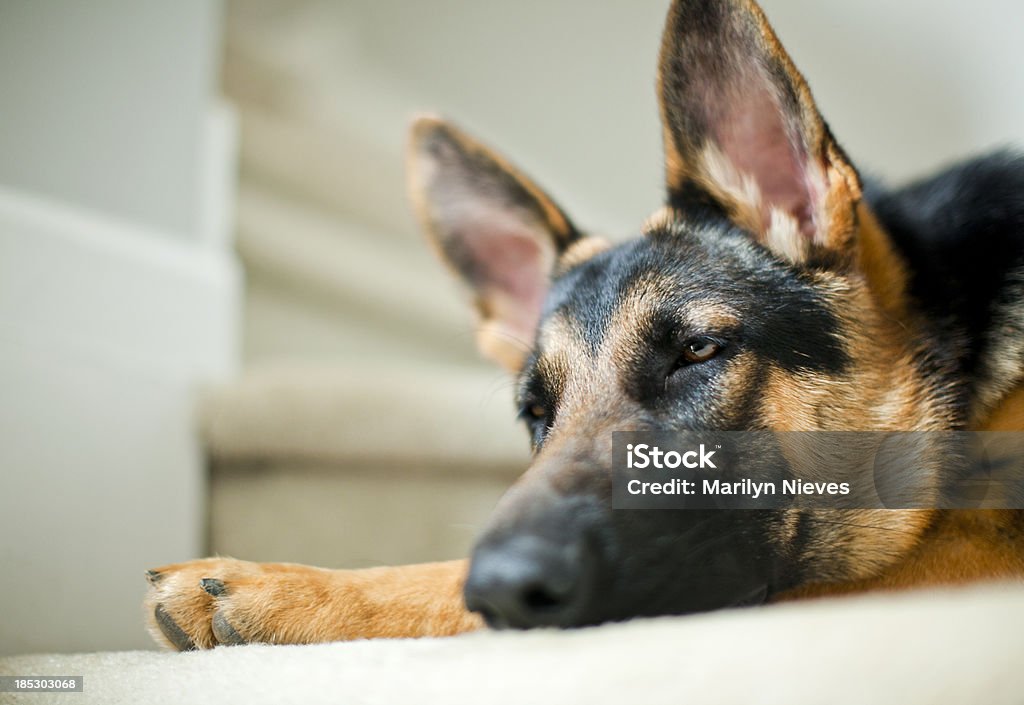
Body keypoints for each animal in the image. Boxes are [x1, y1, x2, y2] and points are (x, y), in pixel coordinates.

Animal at [142, 0, 1024, 651]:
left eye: (697, 351)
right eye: (535, 411)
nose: (503, 584)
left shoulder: (968, 554)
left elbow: (440, 577)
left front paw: (283, 586)